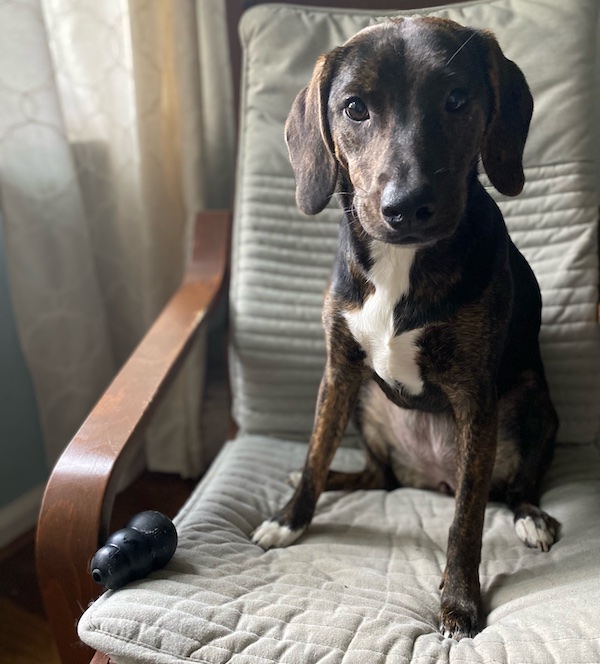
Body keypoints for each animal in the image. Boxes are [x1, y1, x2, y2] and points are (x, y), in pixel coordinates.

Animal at [251, 15, 560, 640]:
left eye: (458, 99)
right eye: (354, 108)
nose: (406, 206)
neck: (401, 263)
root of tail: (431, 477)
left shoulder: (475, 398)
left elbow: (466, 521)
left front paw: (460, 602)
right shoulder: (339, 371)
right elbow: (315, 452)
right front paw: (291, 518)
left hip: (532, 404)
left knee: (512, 487)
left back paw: (529, 518)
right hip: (369, 404)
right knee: (377, 476)